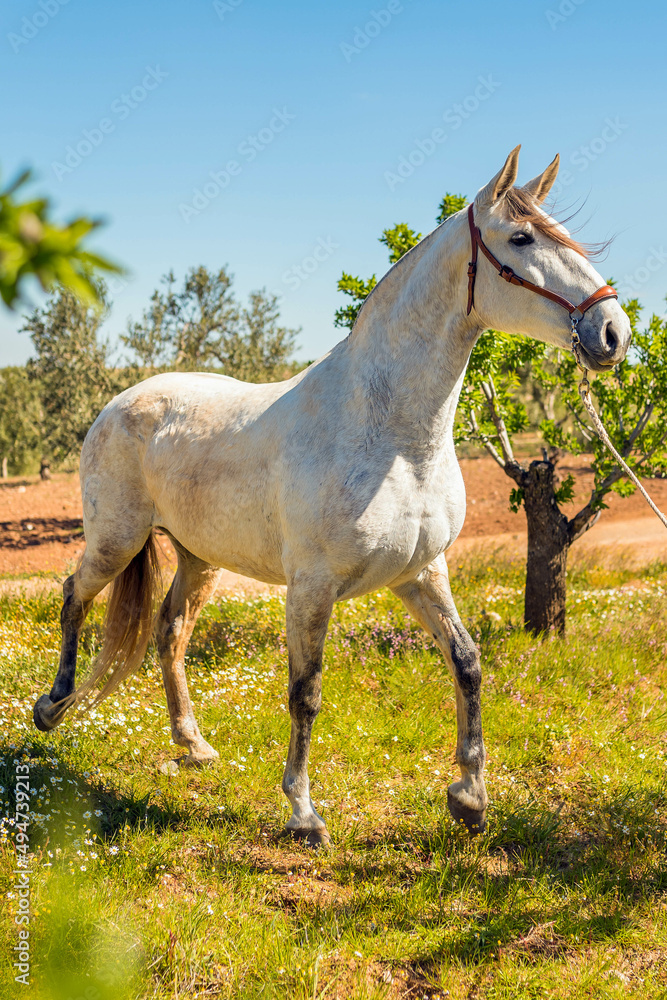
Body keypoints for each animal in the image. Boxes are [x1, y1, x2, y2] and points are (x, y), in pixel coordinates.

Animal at [33, 146, 631, 845]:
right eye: (521, 238)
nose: (612, 331)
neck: (392, 436)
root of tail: (120, 402)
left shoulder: (422, 574)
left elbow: (467, 662)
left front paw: (469, 796)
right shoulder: (311, 589)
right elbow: (306, 692)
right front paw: (303, 812)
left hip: (199, 557)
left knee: (169, 632)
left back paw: (193, 745)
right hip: (115, 540)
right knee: (74, 596)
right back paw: (53, 706)